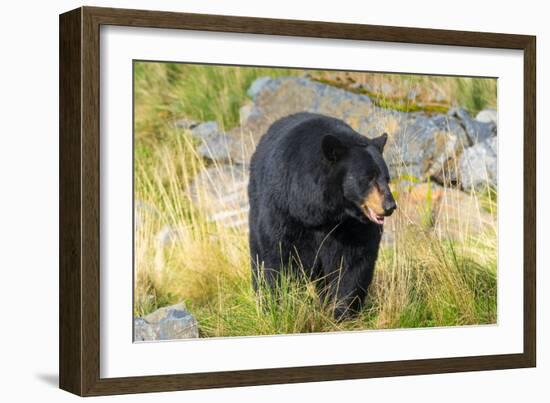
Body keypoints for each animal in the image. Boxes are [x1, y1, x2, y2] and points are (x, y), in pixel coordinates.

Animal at [249, 113, 396, 318]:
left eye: (387, 178)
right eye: (368, 178)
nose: (390, 206)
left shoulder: (350, 227)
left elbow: (352, 263)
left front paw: (342, 312)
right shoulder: (284, 210)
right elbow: (276, 256)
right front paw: (278, 307)